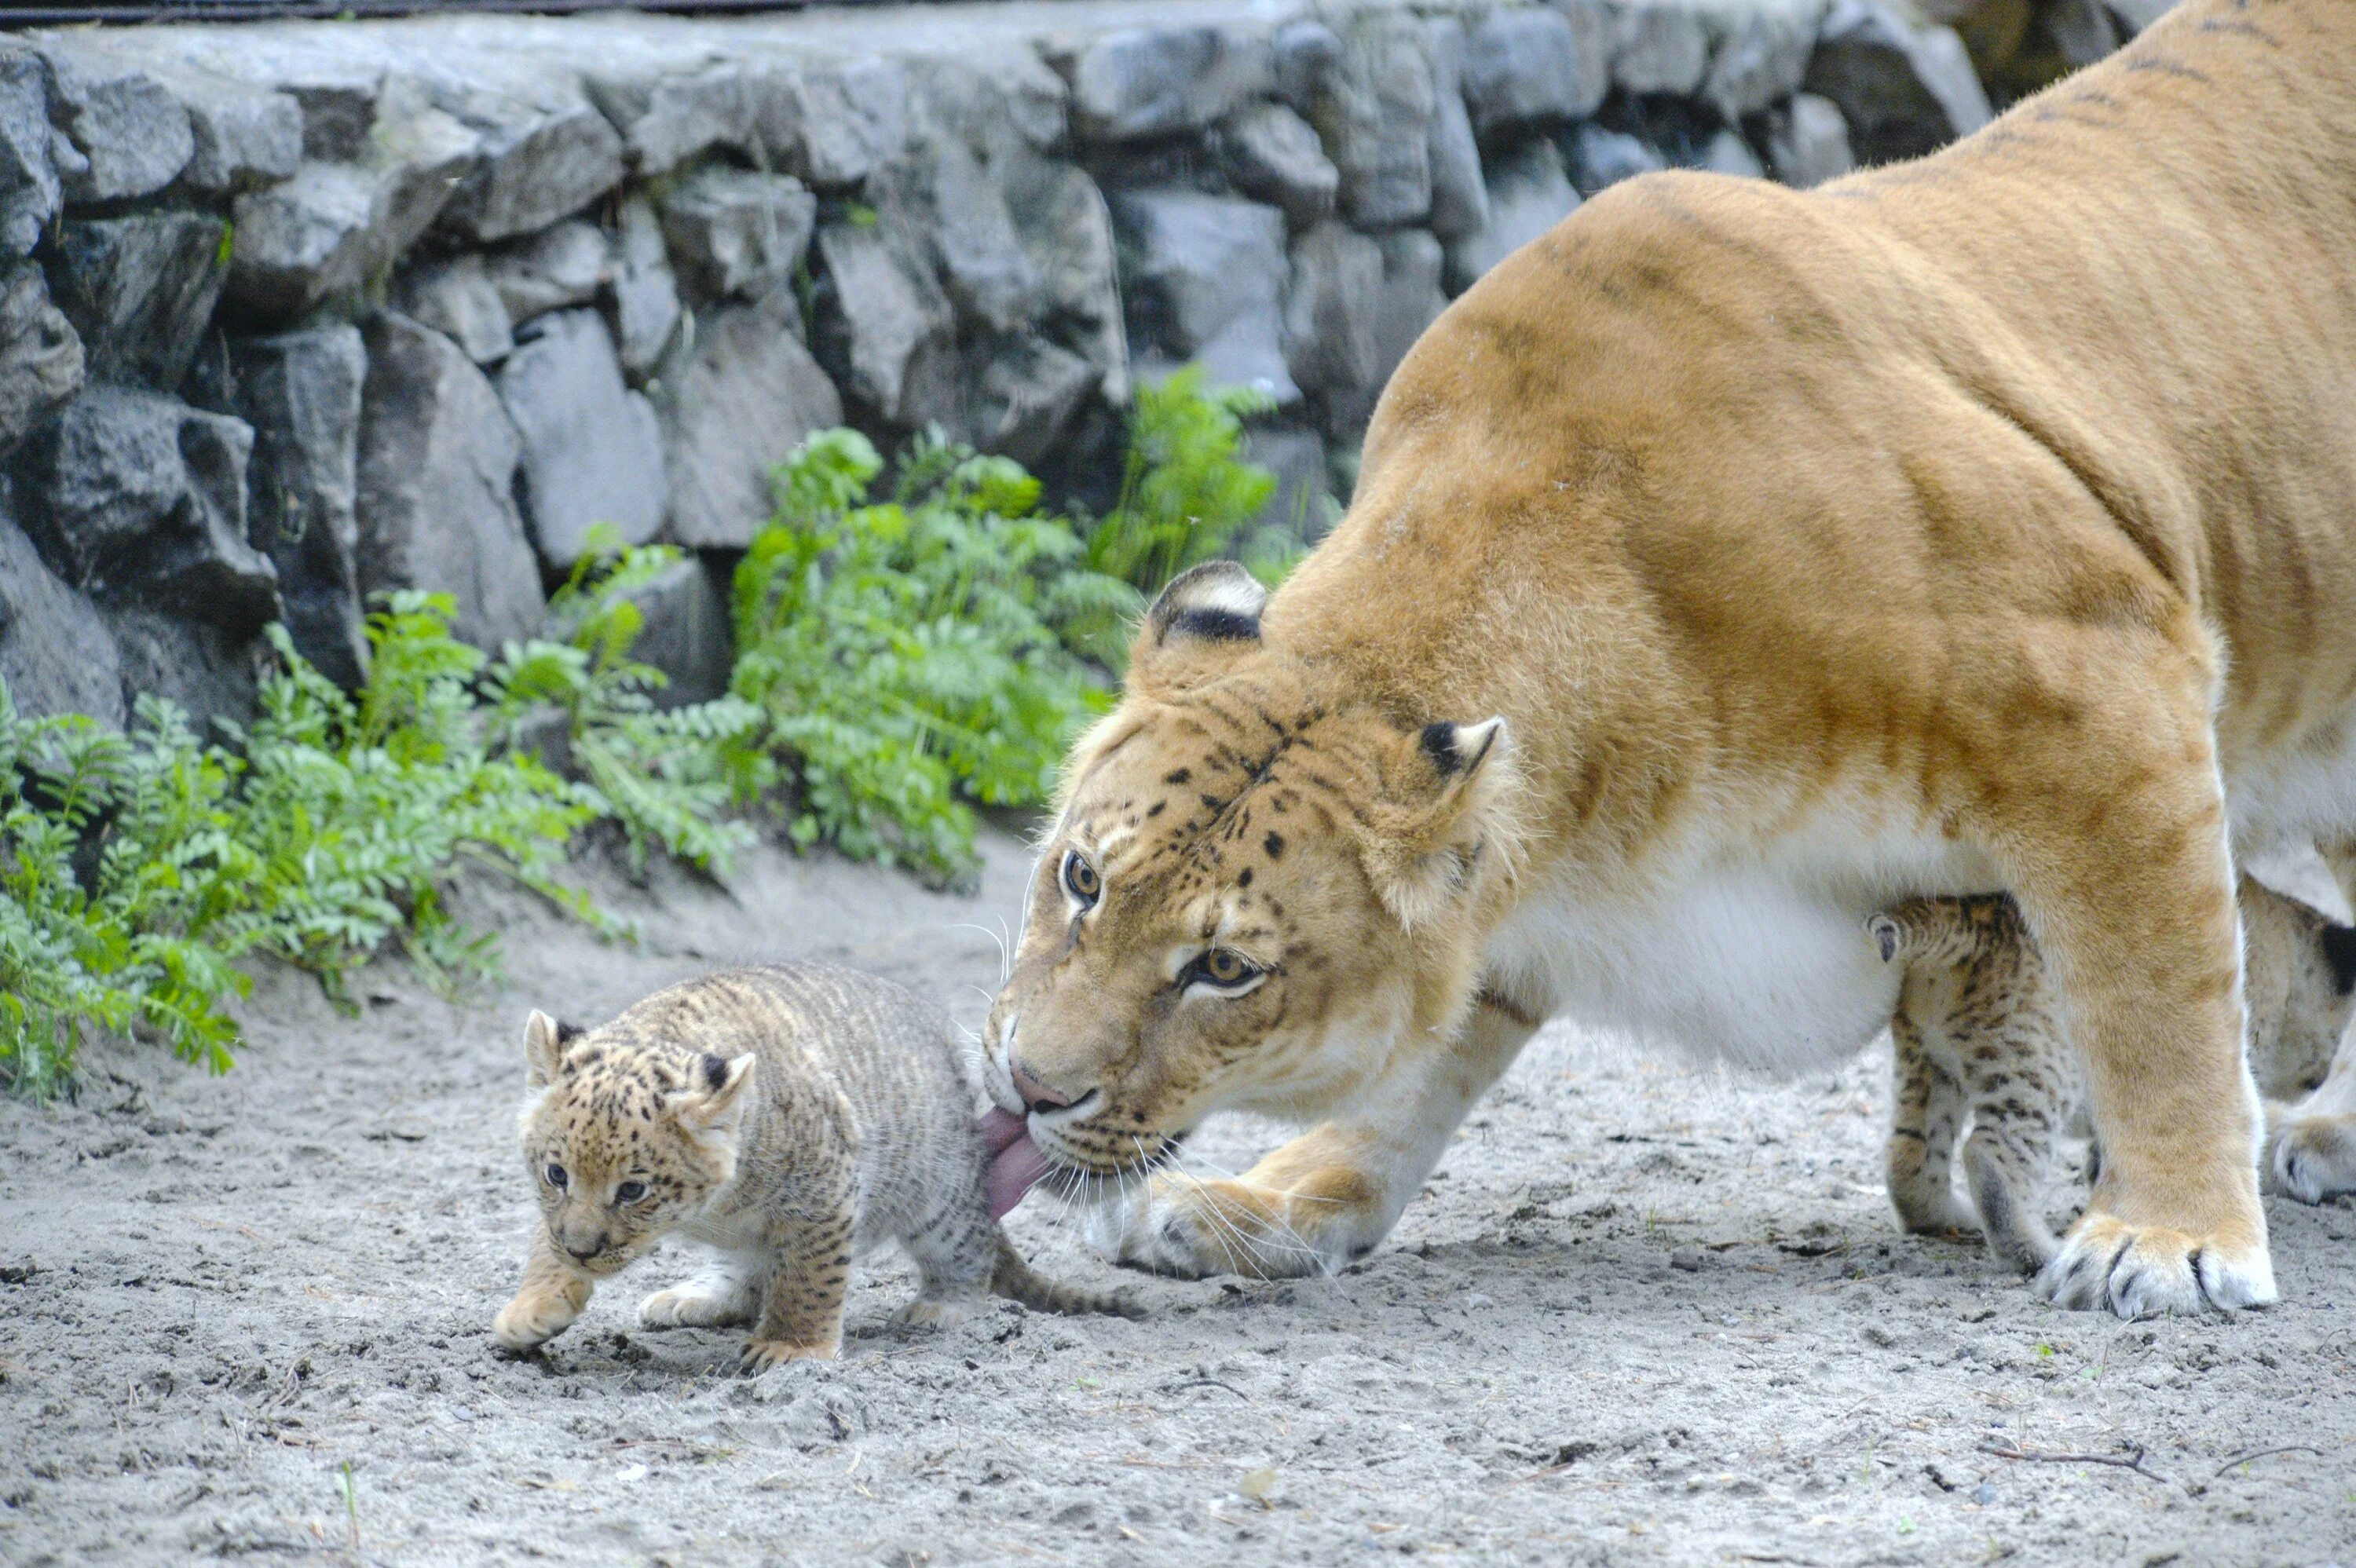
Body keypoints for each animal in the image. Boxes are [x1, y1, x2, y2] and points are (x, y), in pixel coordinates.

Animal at [492, 960, 1136, 1365]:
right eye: (556, 1175)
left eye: (632, 1190)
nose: (582, 1251)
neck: (713, 1203)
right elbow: (542, 1241)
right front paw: (534, 1305)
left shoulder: (825, 1186)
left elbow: (809, 1277)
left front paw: (792, 1348)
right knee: (746, 1270)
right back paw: (694, 1298)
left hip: (938, 1192)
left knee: (969, 1247)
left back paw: (943, 1306)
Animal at [1866, 880, 2347, 1271]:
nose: (2323, 1075)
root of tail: (1968, 919)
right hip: (2039, 1068)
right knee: (1991, 1156)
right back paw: (2039, 1253)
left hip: (1927, 1061)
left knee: (1907, 1155)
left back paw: (1947, 1219)